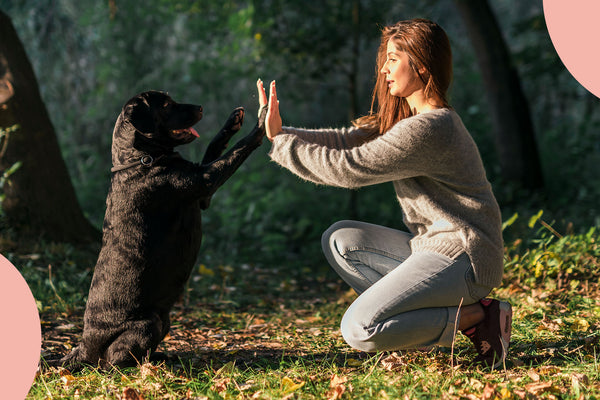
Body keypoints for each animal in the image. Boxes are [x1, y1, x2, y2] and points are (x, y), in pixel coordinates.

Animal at [51, 90, 268, 368]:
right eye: (165, 105)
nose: (200, 107)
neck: (141, 160)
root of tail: (83, 346)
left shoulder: (203, 196)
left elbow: (214, 146)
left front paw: (232, 121)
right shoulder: (206, 180)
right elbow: (236, 150)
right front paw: (262, 121)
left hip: (164, 320)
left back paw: (161, 356)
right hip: (148, 323)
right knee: (114, 362)